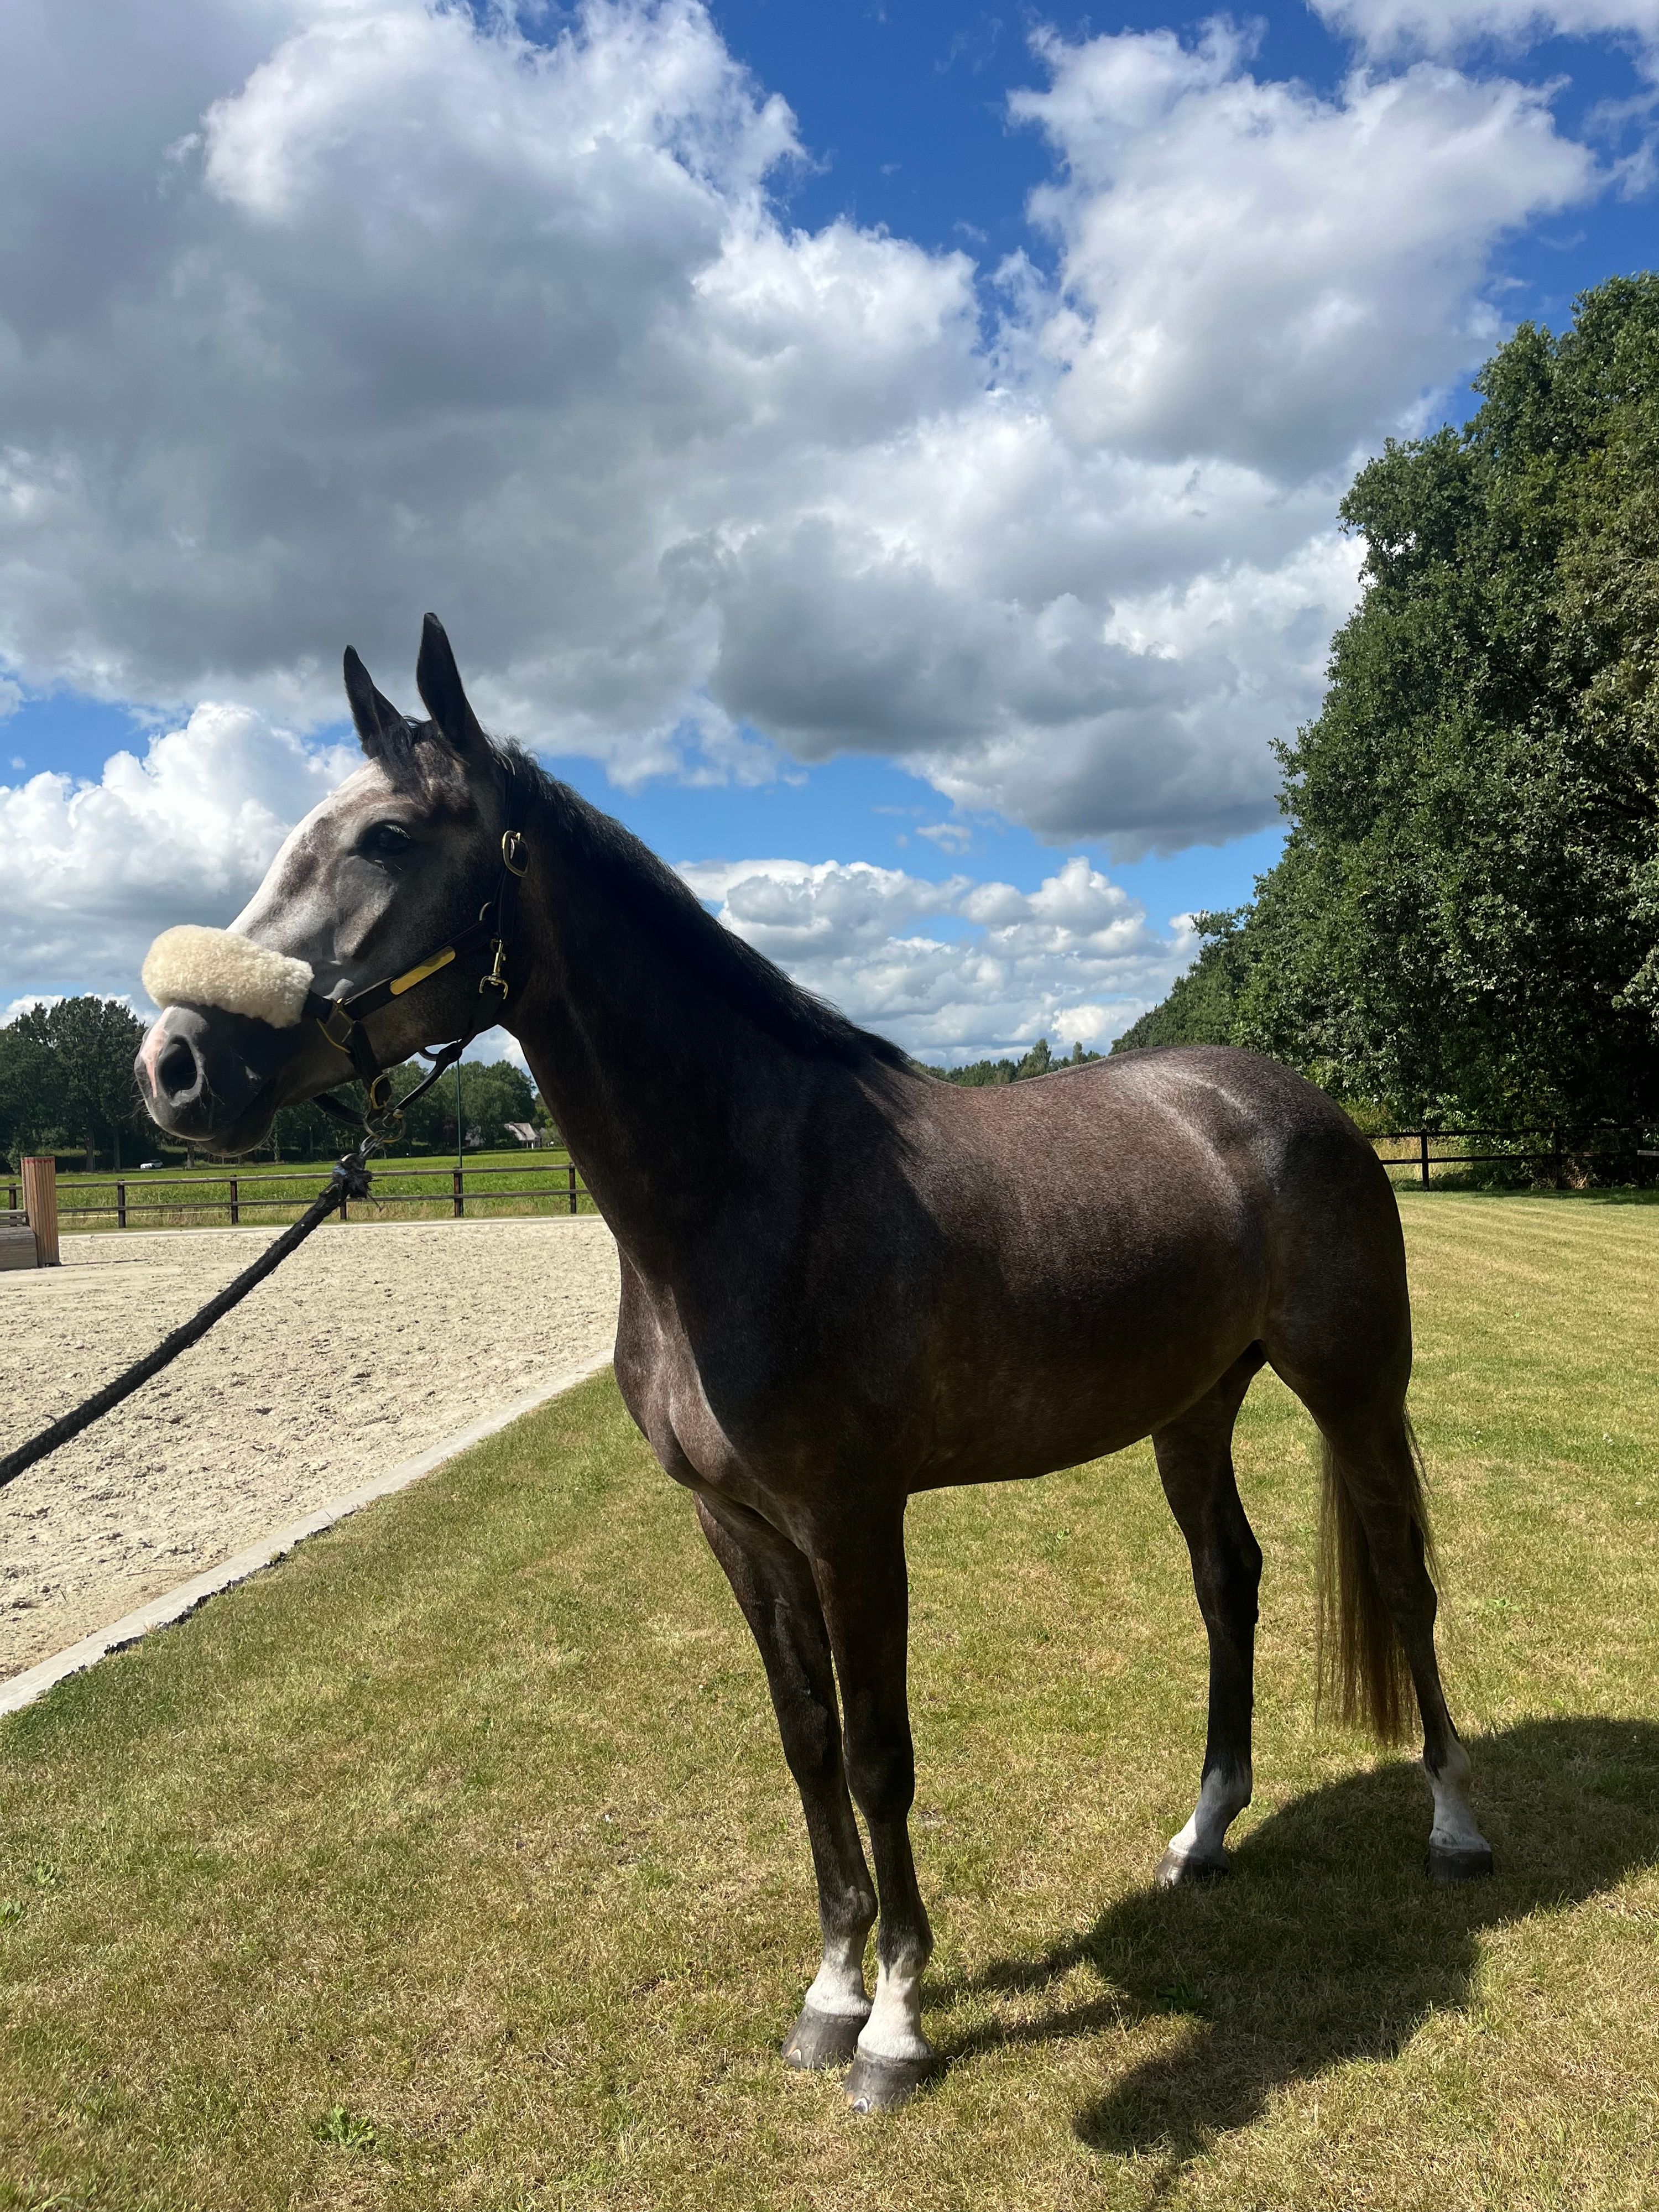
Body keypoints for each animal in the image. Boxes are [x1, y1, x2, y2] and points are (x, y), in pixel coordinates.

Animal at [134, 616, 1493, 2113]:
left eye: (382, 837)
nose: (176, 1064)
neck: (746, 1192)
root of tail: (1297, 1104)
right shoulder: (738, 1528)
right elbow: (808, 1746)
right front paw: (831, 1989)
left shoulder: (853, 1521)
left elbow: (882, 1752)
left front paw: (896, 2019)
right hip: (1191, 1406)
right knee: (1226, 1582)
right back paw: (1201, 1834)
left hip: (1354, 1389)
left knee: (1404, 1577)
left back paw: (1452, 1824)